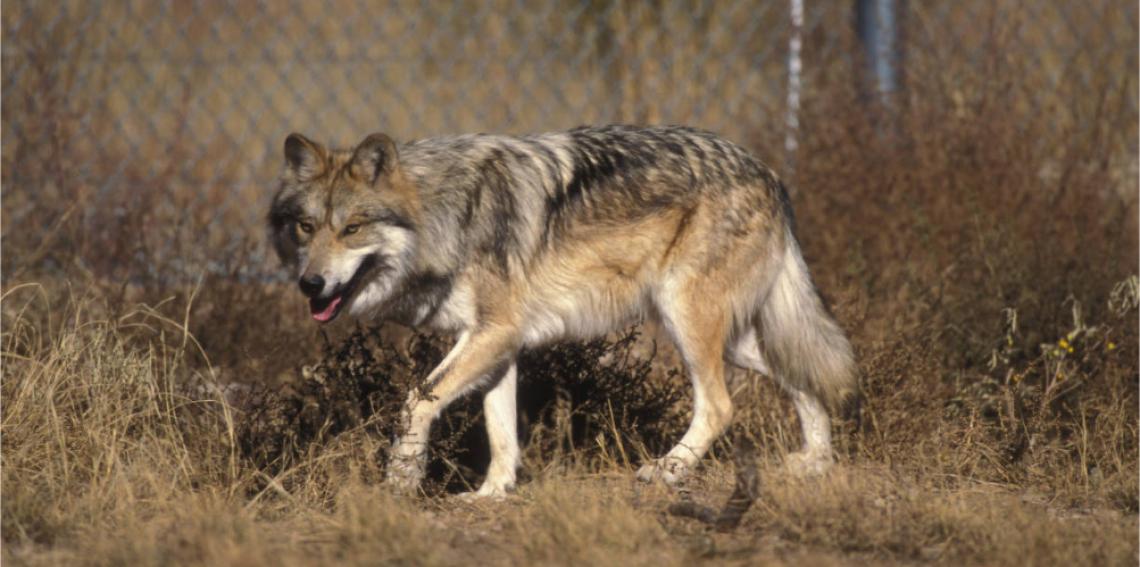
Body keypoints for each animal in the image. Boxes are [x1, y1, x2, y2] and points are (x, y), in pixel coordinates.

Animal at [266, 123, 857, 495]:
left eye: (352, 229)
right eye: (306, 227)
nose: (311, 284)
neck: (445, 215)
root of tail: (769, 173)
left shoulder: (493, 334)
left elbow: (415, 402)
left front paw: (402, 480)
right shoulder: (497, 343)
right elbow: (501, 432)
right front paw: (491, 494)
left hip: (688, 323)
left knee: (721, 406)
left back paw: (666, 472)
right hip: (733, 338)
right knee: (806, 375)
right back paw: (815, 463)